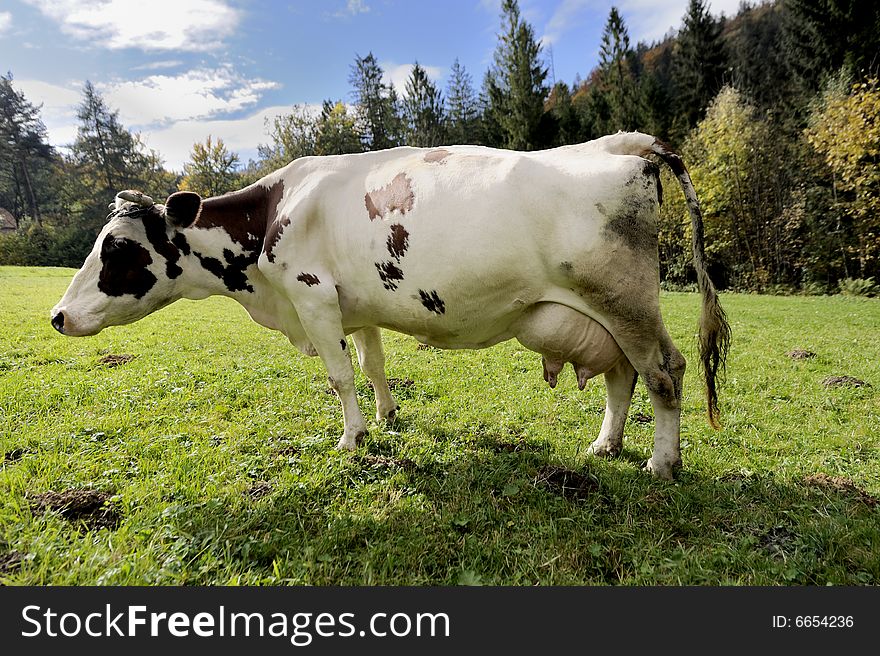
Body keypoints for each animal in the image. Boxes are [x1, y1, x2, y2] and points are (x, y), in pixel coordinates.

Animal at [51, 132, 732, 482]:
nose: (57, 316)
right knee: (623, 377)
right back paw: (605, 446)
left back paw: (661, 462)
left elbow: (339, 376)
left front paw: (351, 437)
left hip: (626, 302)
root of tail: (626, 143)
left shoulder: (312, 296)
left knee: (664, 372)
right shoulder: (354, 307)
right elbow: (372, 366)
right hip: (604, 315)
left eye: (118, 249)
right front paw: (385, 418)